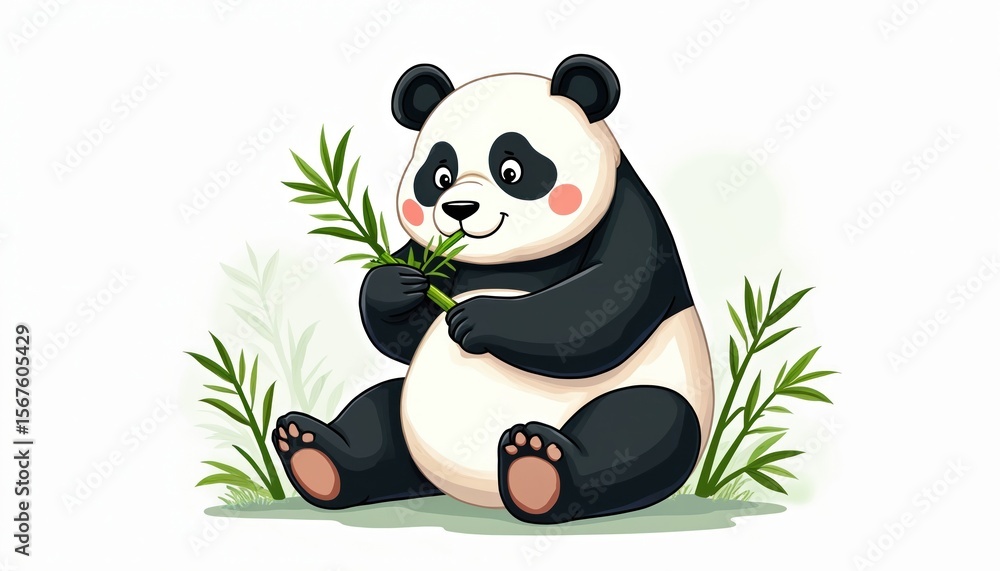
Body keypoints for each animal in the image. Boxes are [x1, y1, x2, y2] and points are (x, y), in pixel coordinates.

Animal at [273, 54, 714, 524]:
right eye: (440, 175)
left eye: (511, 171)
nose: (459, 209)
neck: (509, 260)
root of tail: (481, 493)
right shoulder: (437, 255)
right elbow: (403, 335)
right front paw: (397, 285)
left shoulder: (632, 219)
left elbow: (598, 306)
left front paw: (474, 318)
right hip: (408, 426)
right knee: (377, 413)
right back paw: (312, 453)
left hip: (652, 396)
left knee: (642, 424)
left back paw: (538, 466)